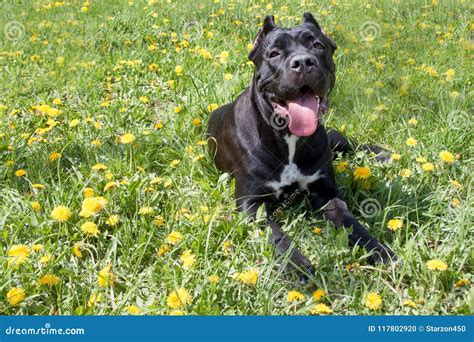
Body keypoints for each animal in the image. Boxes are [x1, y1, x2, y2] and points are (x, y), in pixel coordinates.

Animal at [207, 12, 396, 278]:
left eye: (318, 46)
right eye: (274, 53)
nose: (303, 62)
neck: (288, 137)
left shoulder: (327, 193)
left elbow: (350, 223)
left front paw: (378, 249)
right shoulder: (251, 204)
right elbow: (277, 236)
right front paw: (297, 264)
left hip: (332, 138)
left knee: (350, 143)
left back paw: (385, 154)